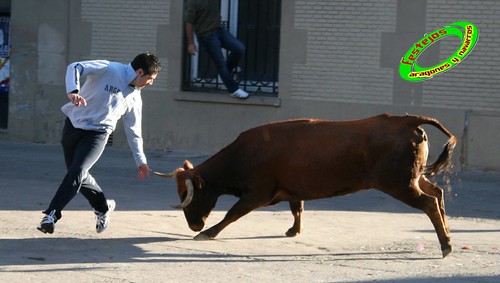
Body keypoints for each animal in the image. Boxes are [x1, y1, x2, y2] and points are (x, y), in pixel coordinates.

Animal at [156, 114, 458, 258]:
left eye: (187, 195)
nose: (194, 225)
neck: (244, 155)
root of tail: (408, 120)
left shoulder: (256, 194)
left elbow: (232, 214)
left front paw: (207, 234)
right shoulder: (292, 189)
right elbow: (297, 208)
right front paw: (294, 231)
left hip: (400, 184)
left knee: (429, 203)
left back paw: (445, 246)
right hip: (414, 178)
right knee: (438, 193)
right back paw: (448, 238)